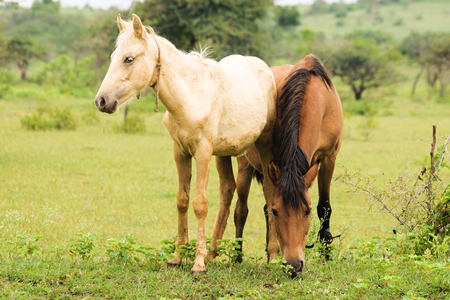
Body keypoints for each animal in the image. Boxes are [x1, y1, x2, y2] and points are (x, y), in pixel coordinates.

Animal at [94, 14, 278, 274]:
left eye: (128, 58)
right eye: (112, 57)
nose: (101, 101)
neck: (190, 96)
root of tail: (264, 68)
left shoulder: (203, 152)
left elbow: (200, 203)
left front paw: (198, 263)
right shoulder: (180, 152)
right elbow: (182, 201)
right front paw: (178, 257)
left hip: (263, 147)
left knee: (271, 192)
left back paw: (274, 256)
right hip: (224, 155)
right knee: (227, 191)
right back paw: (213, 253)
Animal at [232, 55, 342, 278]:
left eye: (307, 211)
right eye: (278, 212)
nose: (294, 266)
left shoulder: (329, 158)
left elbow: (325, 207)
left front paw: (326, 255)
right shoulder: (271, 161)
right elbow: (269, 203)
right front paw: (274, 256)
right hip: (244, 167)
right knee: (241, 210)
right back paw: (239, 256)